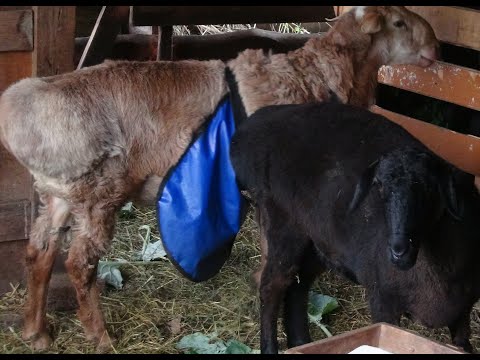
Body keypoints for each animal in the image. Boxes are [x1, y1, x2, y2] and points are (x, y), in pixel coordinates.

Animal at [0, 7, 436, 352]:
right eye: (399, 22)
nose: (435, 48)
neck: (318, 76)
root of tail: (21, 110)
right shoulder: (277, 193)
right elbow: (274, 252)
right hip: (99, 189)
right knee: (79, 262)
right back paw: (100, 336)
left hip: (61, 192)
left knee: (39, 251)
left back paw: (36, 332)